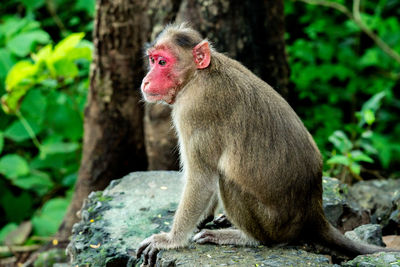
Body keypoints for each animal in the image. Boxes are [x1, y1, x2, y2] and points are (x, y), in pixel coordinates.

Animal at [135, 24, 396, 266]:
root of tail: (314, 211)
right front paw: (203, 217)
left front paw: (170, 240)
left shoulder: (194, 110)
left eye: (162, 62)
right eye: (152, 60)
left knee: (228, 181)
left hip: (272, 225)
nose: (145, 81)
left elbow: (202, 178)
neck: (197, 75)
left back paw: (245, 237)